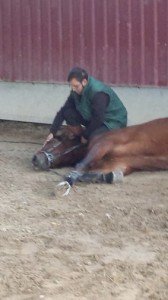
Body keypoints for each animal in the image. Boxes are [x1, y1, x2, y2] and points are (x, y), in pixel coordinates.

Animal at [32, 118, 168, 193]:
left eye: (56, 138)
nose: (35, 158)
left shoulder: (103, 143)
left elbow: (80, 166)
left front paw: (68, 180)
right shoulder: (121, 165)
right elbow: (95, 175)